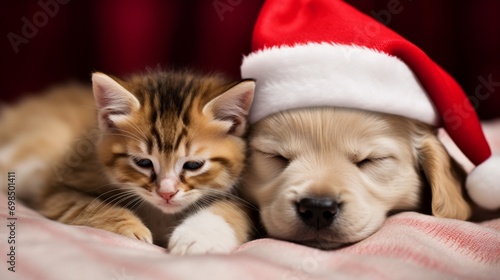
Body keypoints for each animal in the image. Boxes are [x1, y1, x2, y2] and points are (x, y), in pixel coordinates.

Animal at [0, 69, 256, 254]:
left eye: (193, 165)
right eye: (143, 162)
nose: (167, 193)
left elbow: (233, 210)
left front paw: (196, 238)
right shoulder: (57, 190)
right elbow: (87, 205)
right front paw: (131, 228)